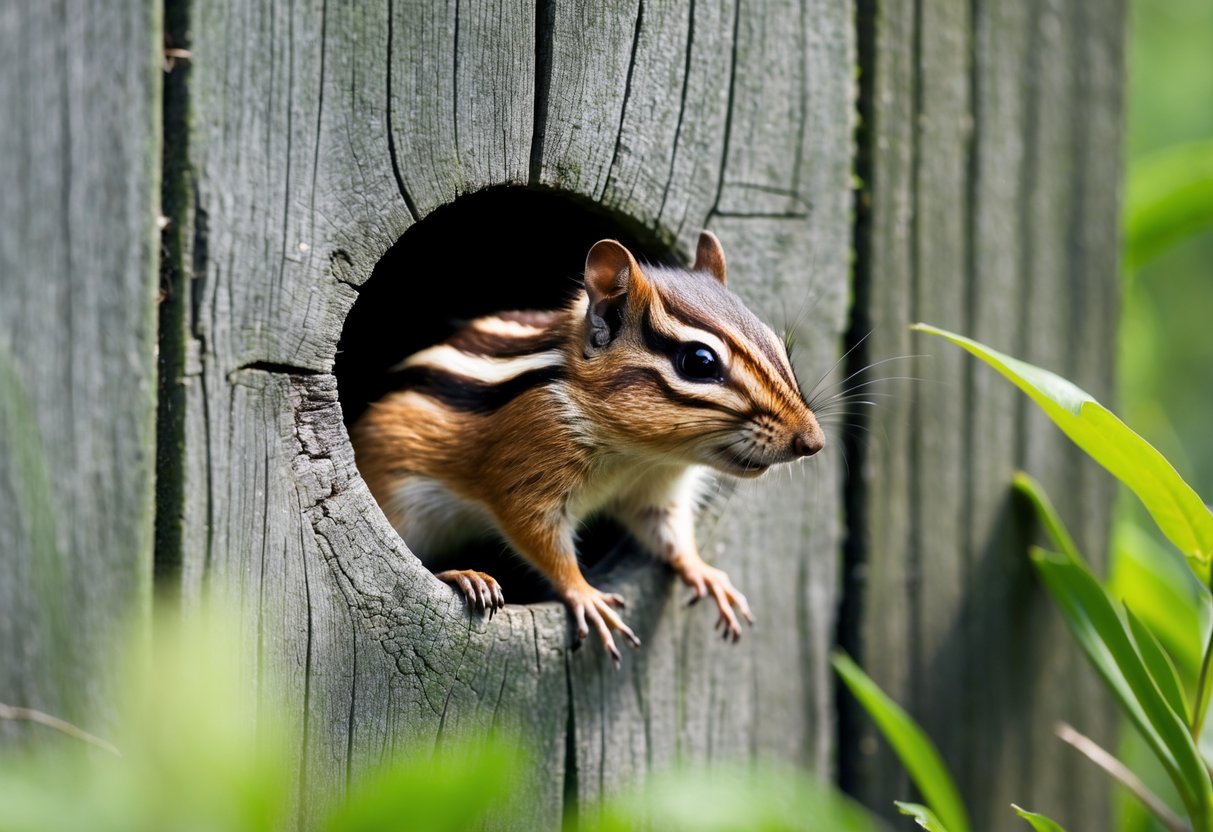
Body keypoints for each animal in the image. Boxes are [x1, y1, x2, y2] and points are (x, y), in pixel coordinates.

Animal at [350, 231, 824, 666]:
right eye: (699, 362)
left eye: (779, 344)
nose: (813, 442)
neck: (637, 455)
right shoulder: (525, 476)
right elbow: (540, 538)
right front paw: (587, 596)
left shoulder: (653, 492)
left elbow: (670, 534)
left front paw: (705, 573)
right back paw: (467, 576)